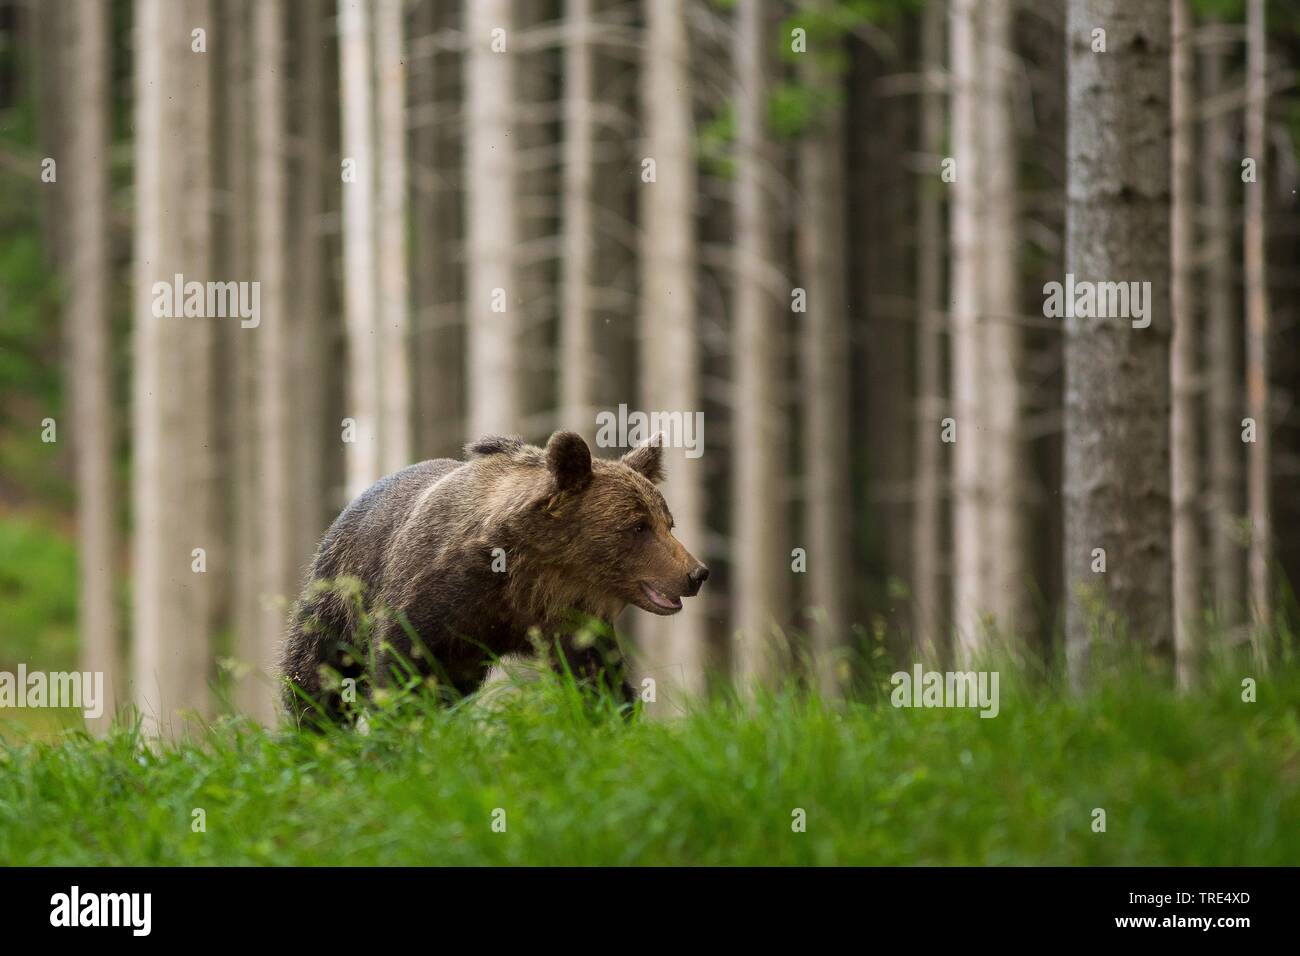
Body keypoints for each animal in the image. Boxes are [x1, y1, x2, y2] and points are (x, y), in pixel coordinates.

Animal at [278, 429, 707, 723]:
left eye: (668, 523)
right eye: (638, 526)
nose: (697, 573)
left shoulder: (571, 621)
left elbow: (597, 678)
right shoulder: (435, 595)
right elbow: (403, 666)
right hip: (339, 589)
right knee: (316, 670)